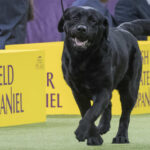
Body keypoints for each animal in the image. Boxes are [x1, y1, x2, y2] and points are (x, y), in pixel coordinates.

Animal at [57, 6, 150, 145]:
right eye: (75, 17)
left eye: (93, 21)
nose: (81, 28)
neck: (83, 60)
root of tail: (123, 28)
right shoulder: (78, 92)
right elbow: (86, 111)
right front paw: (93, 137)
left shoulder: (103, 90)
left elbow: (92, 112)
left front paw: (81, 131)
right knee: (109, 105)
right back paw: (103, 126)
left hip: (130, 90)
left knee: (125, 115)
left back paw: (121, 137)